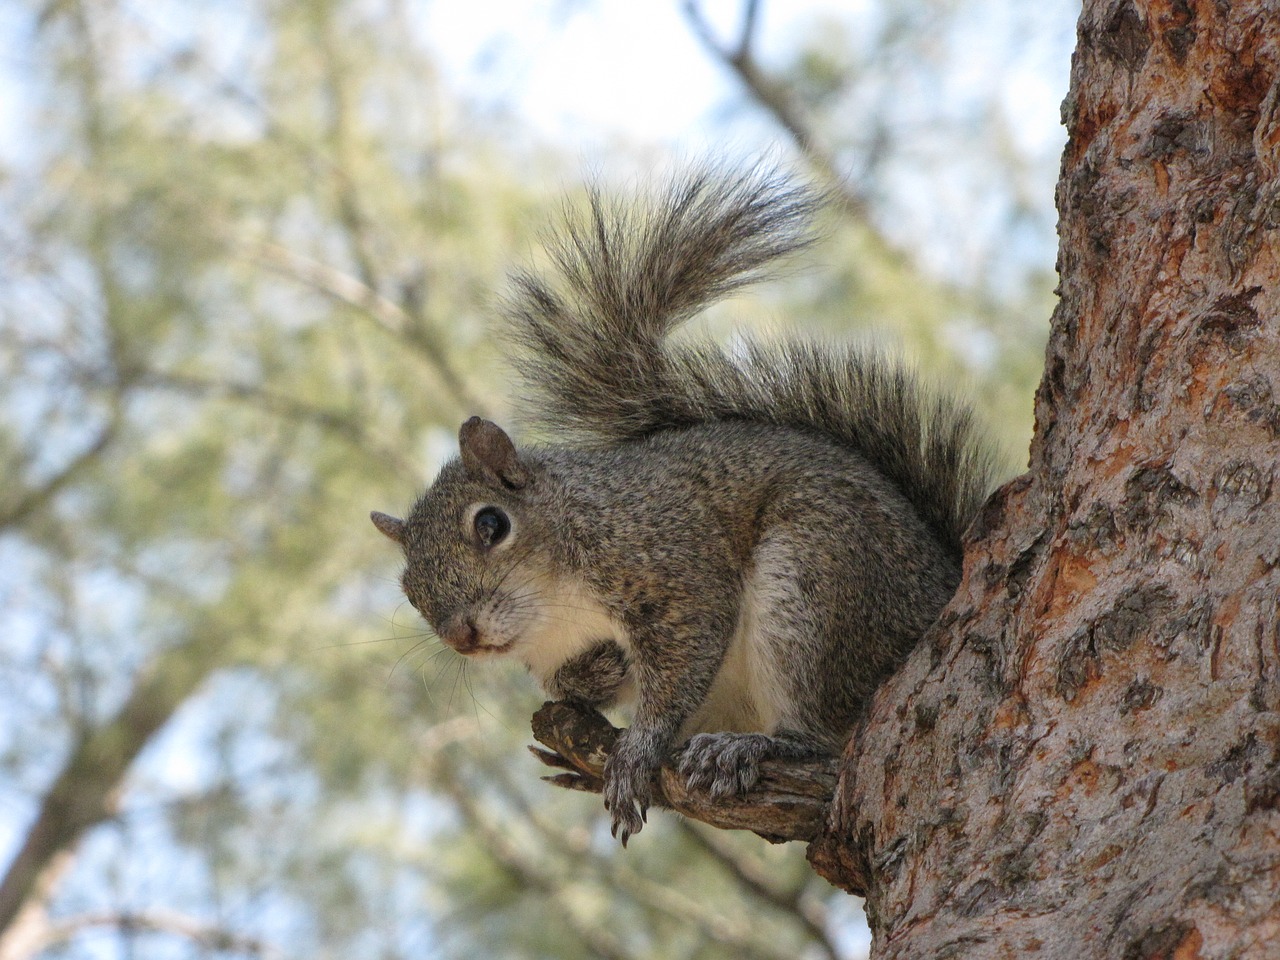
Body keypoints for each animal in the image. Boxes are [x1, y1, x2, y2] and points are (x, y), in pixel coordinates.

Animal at [371, 168, 998, 844]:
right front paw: (596, 674)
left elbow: (684, 655)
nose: (460, 636)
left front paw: (636, 751)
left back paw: (753, 747)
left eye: (492, 524)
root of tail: (941, 586)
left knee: (829, 730)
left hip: (819, 582)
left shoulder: (670, 562)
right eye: (407, 588)